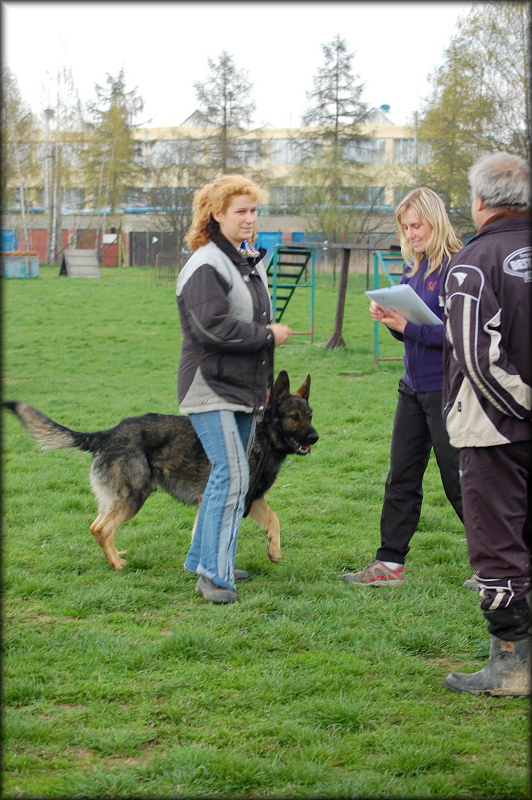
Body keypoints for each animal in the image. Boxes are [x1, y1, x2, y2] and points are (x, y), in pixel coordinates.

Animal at [4, 374, 318, 568]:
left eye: (310, 415)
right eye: (294, 417)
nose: (315, 437)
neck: (261, 436)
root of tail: (107, 434)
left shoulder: (252, 499)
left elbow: (274, 521)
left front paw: (274, 551)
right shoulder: (218, 497)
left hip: (116, 498)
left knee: (96, 526)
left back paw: (114, 556)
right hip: (133, 498)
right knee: (103, 529)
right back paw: (117, 564)